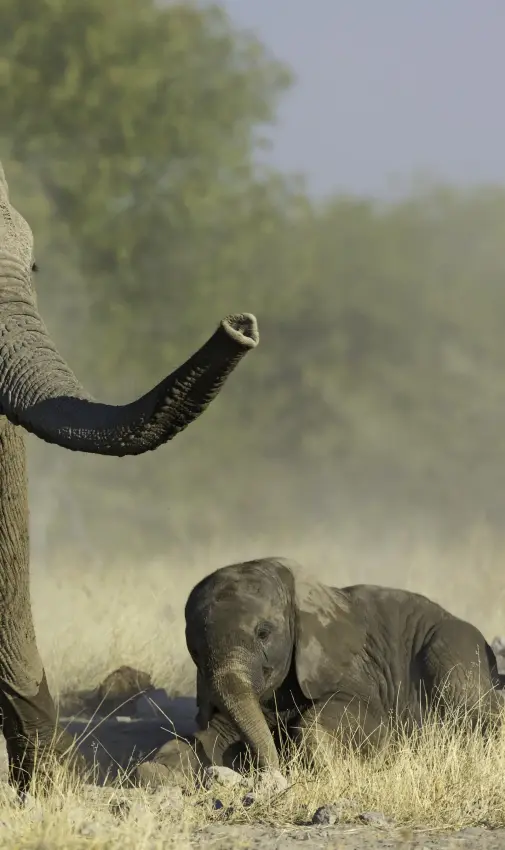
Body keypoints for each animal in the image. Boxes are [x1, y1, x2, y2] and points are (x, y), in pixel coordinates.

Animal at [136, 556, 504, 785]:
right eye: (195, 650)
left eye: (263, 633)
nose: (272, 774)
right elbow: (211, 737)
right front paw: (154, 773)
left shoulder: (355, 666)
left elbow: (365, 719)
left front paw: (327, 766)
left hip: (454, 646)